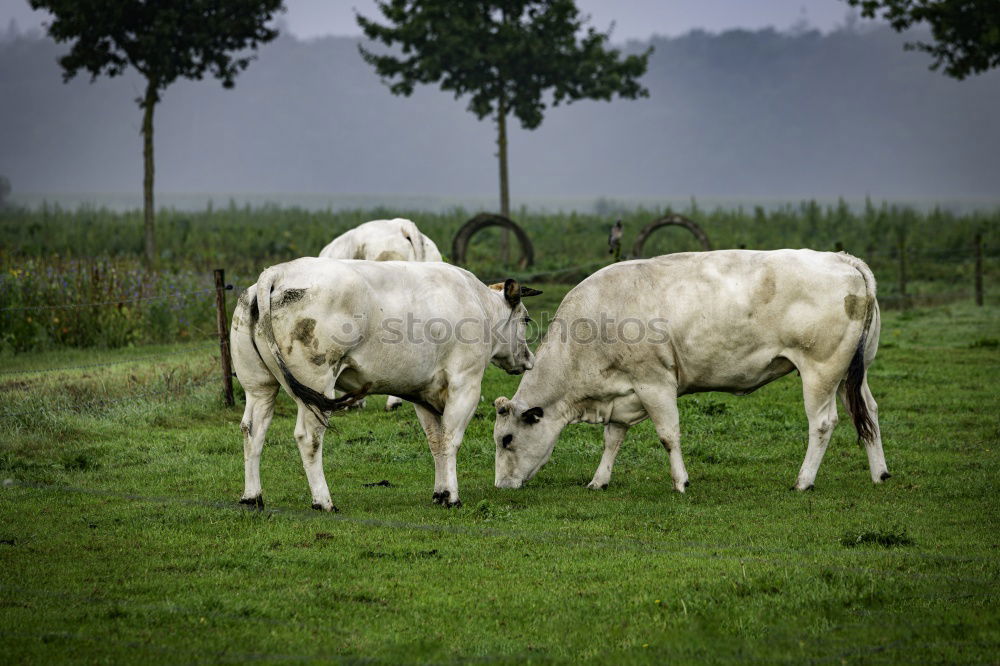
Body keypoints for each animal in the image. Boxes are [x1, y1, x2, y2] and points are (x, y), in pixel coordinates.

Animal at [229, 256, 540, 506]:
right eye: (525, 319)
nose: (529, 359)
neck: (478, 303)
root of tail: (277, 272)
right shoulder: (466, 385)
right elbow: (451, 440)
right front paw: (452, 496)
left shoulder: (423, 394)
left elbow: (436, 442)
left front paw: (440, 493)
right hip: (317, 386)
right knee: (309, 438)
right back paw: (323, 501)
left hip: (259, 386)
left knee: (252, 430)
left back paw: (252, 497)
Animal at [494, 249, 892, 492]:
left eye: (506, 439)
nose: (500, 485)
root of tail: (842, 259)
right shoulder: (622, 392)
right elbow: (613, 439)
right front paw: (599, 481)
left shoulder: (654, 382)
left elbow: (668, 435)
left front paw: (681, 482)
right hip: (852, 373)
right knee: (869, 412)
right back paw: (879, 474)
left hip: (821, 369)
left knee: (823, 423)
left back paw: (804, 481)